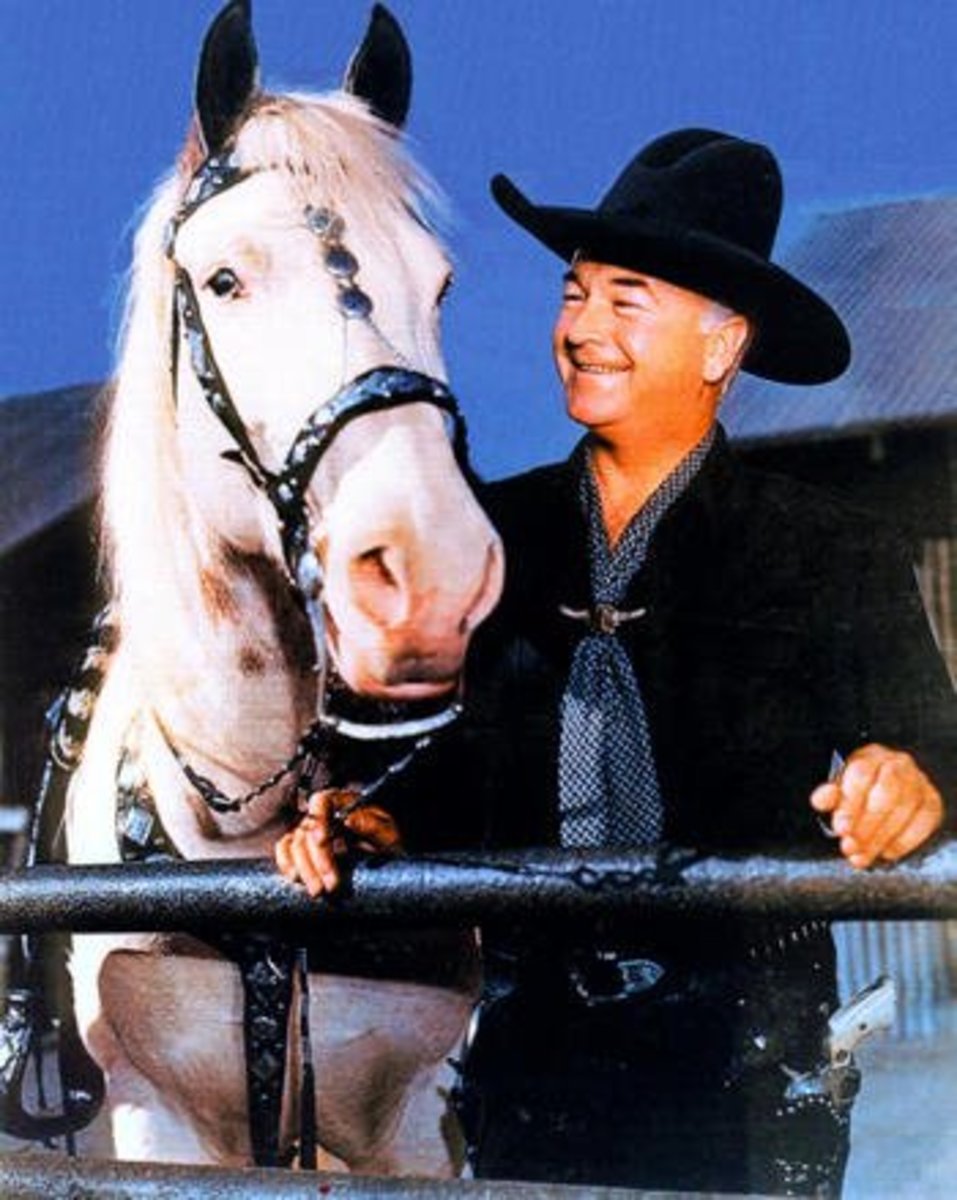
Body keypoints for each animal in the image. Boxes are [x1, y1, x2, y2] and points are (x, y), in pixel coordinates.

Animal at [63, 1, 502, 1175]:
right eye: (224, 281)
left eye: (439, 283)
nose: (433, 573)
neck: (243, 849)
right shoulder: (153, 1122)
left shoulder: (414, 1123)